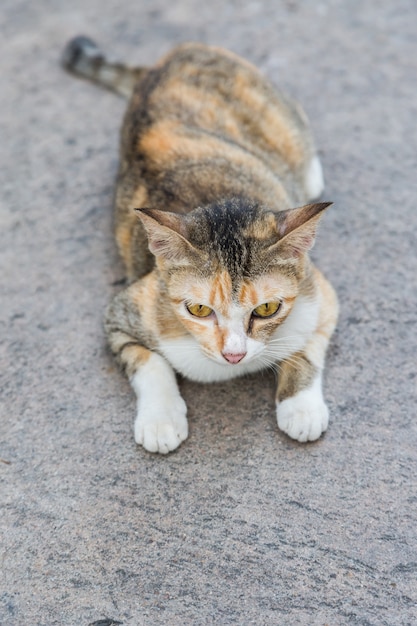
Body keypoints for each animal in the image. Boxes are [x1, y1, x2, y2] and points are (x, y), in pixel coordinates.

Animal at [62, 35, 338, 454]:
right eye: (198, 309)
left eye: (267, 308)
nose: (234, 354)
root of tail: (172, 55)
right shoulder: (124, 311)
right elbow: (149, 362)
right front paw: (160, 420)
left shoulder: (320, 294)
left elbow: (308, 345)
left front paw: (300, 407)